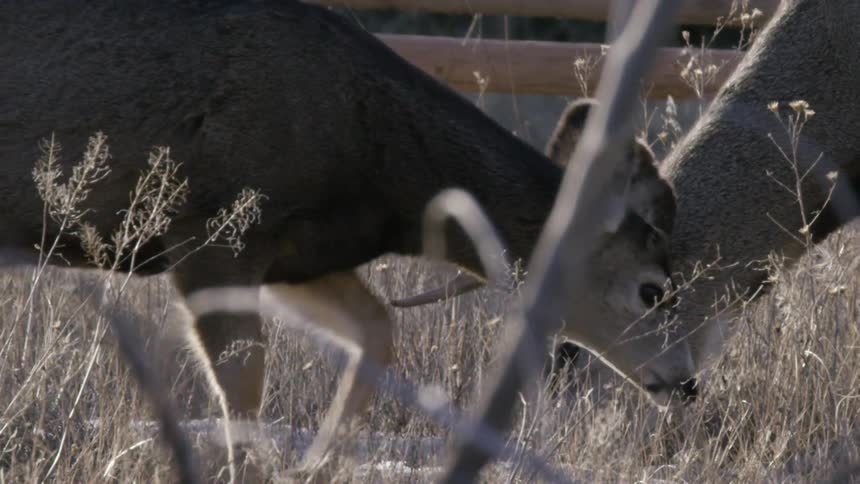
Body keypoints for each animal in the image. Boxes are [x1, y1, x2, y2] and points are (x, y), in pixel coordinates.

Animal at [0, 0, 696, 475]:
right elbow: (244, 384)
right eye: (652, 289)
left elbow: (377, 327)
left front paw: (316, 464)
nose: (688, 382)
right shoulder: (213, 235)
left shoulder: (294, 259)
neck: (386, 171)